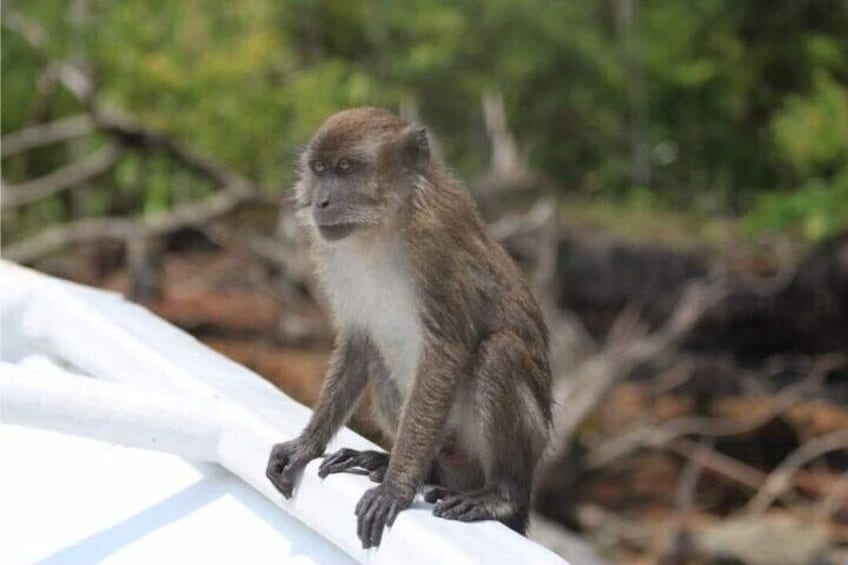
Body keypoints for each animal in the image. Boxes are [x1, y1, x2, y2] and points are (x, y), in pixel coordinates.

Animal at [268, 106, 552, 548]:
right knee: (380, 357)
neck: (381, 227)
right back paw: (398, 463)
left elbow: (446, 353)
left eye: (346, 168)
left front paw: (397, 488)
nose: (321, 201)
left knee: (499, 352)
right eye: (320, 169)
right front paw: (305, 446)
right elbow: (358, 342)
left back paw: (500, 495)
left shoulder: (434, 250)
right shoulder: (332, 254)